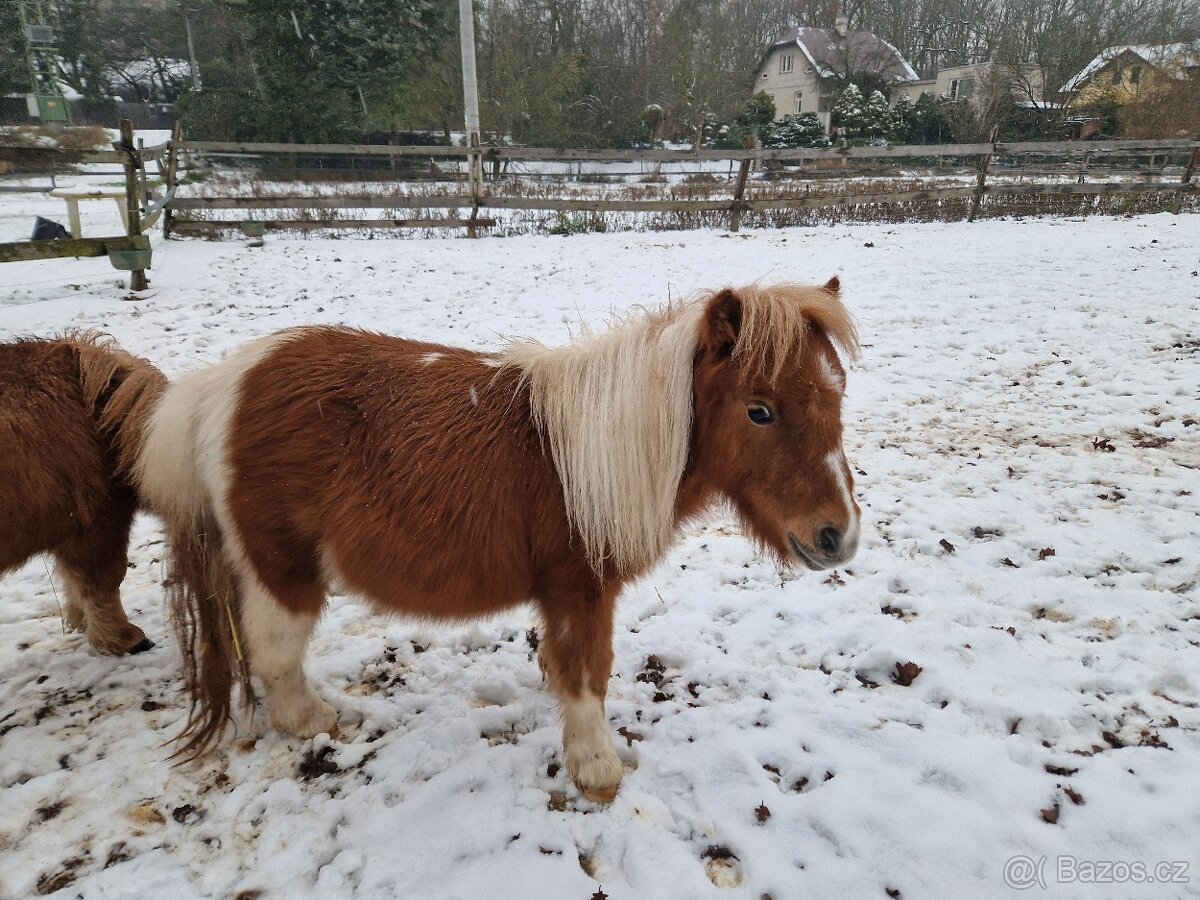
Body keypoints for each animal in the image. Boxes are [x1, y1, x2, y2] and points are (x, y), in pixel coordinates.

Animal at [138, 280, 861, 802]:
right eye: (759, 411)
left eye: (837, 399)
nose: (839, 536)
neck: (589, 454)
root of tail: (224, 384)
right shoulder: (580, 589)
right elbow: (587, 673)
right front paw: (596, 768)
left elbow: (566, 668)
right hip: (280, 567)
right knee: (274, 651)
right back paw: (313, 721)